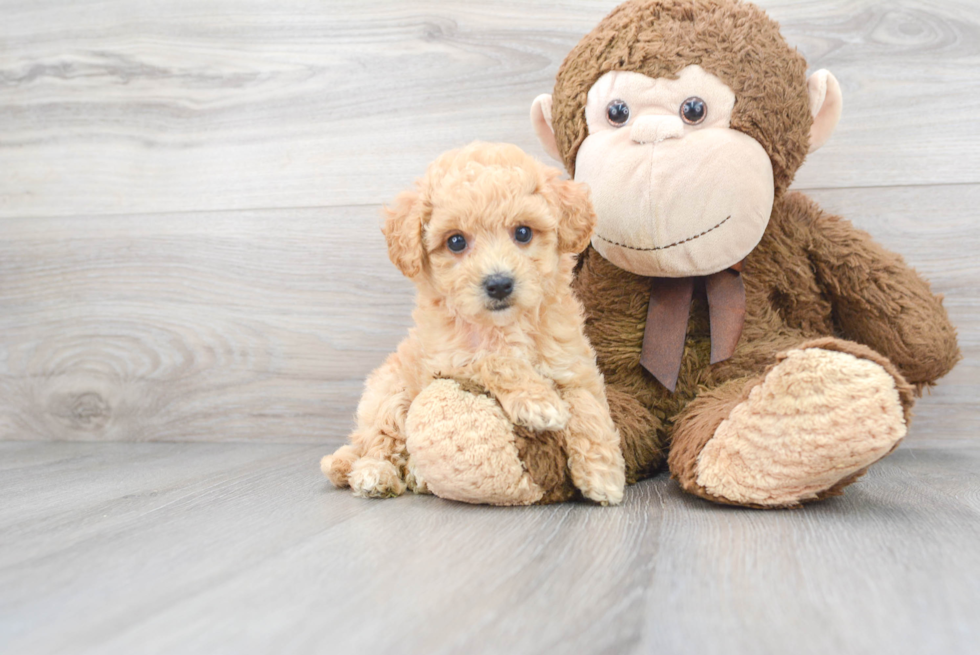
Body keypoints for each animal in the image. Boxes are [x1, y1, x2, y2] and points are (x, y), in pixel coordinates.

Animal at [324, 142, 628, 508]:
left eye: (523, 232)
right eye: (456, 241)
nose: (498, 284)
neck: (505, 326)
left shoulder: (572, 363)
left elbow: (587, 405)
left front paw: (603, 472)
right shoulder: (448, 360)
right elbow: (494, 360)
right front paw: (538, 402)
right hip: (388, 393)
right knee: (379, 442)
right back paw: (375, 474)